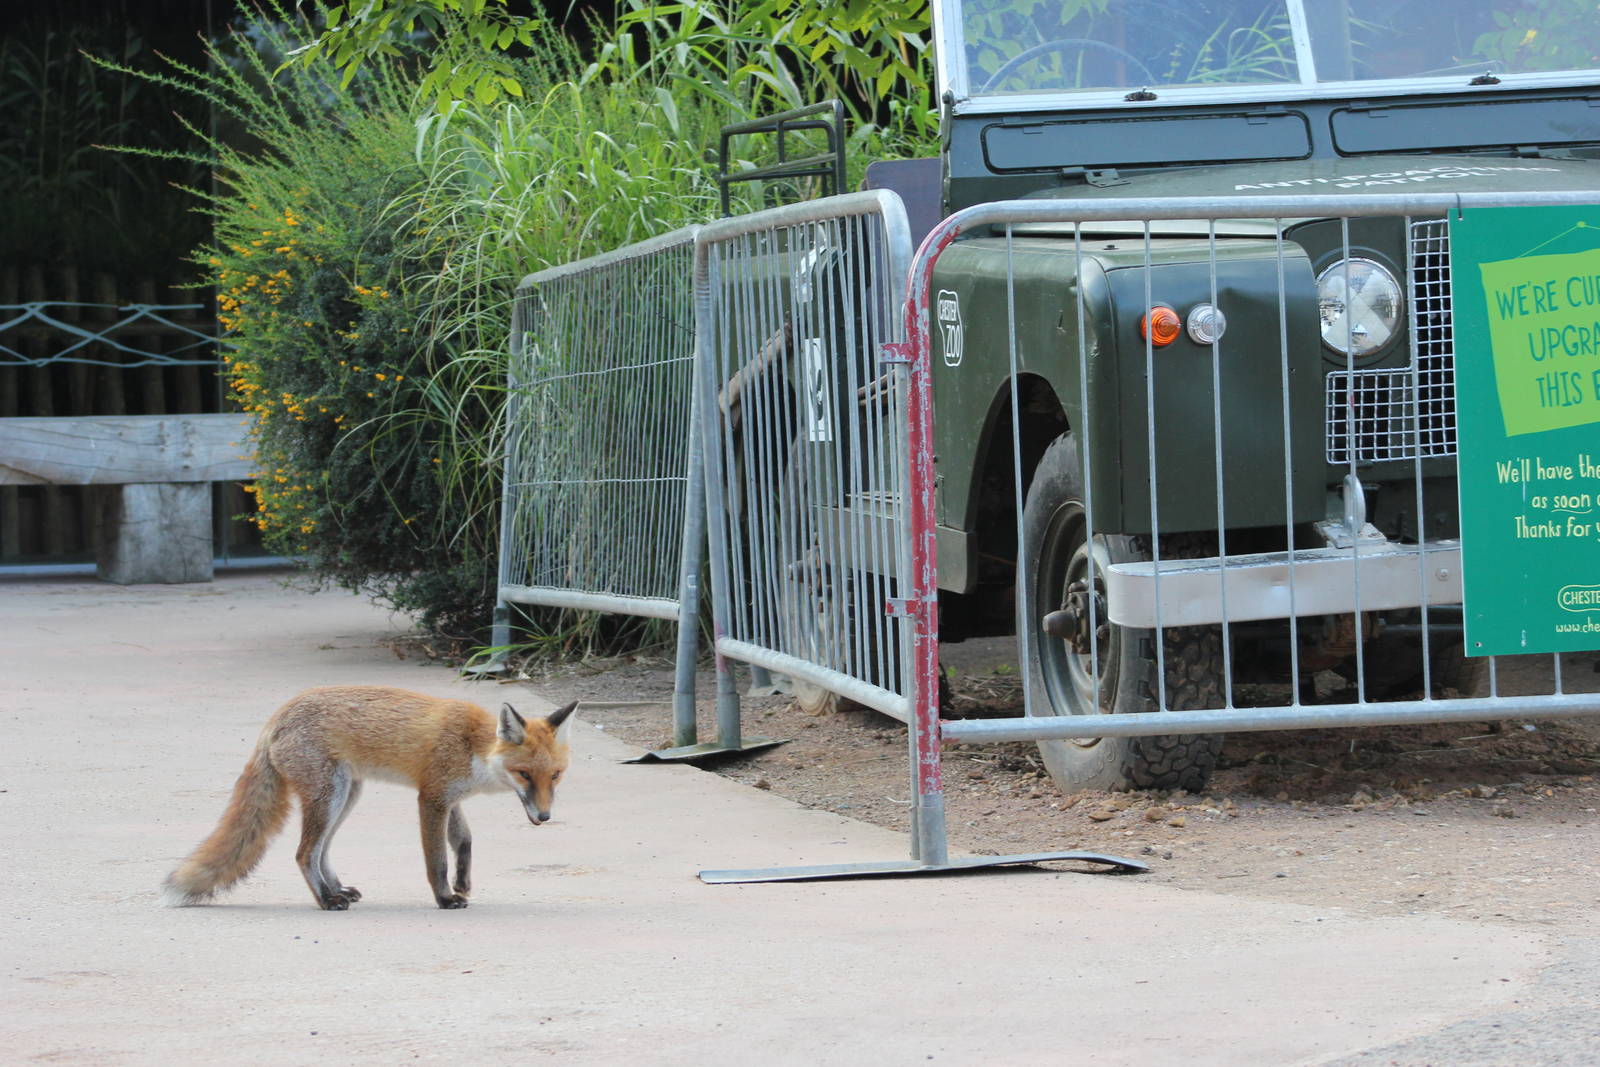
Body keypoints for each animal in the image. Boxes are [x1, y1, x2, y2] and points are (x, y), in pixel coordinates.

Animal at [161, 685, 576, 911]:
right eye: (525, 775)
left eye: (555, 776)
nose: (544, 817)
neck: (472, 746)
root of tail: (277, 716)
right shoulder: (431, 799)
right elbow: (437, 860)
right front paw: (445, 898)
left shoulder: (450, 798)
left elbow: (464, 841)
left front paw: (463, 882)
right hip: (329, 796)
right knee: (303, 853)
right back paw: (326, 901)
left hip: (346, 796)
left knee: (321, 851)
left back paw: (336, 889)